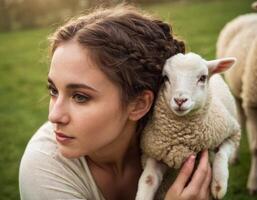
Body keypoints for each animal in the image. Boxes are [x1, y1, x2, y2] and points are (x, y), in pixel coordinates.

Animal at [136, 52, 240, 199]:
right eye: (165, 78)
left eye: (203, 77)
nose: (180, 100)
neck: (183, 136)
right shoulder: (156, 154)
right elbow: (148, 179)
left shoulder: (233, 133)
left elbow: (222, 153)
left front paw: (218, 185)